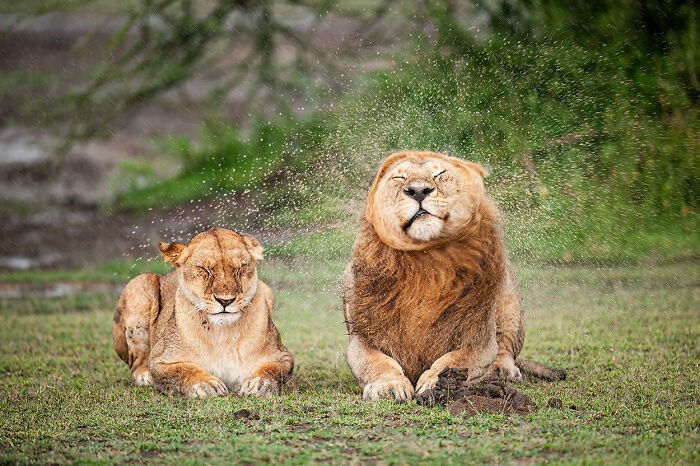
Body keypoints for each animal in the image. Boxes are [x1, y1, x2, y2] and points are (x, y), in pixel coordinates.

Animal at [112, 227, 294, 398]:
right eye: (205, 269)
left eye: (240, 268)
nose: (225, 300)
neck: (224, 333)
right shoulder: (160, 360)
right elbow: (183, 370)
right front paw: (206, 384)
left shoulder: (283, 356)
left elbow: (274, 370)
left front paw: (259, 383)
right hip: (140, 283)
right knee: (137, 361)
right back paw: (145, 376)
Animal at [343, 151, 565, 400]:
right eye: (399, 177)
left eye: (440, 174)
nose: (418, 190)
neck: (426, 266)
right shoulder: (362, 339)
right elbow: (378, 363)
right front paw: (389, 385)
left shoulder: (480, 340)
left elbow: (455, 360)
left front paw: (437, 383)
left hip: (509, 303)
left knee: (505, 347)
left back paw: (501, 370)